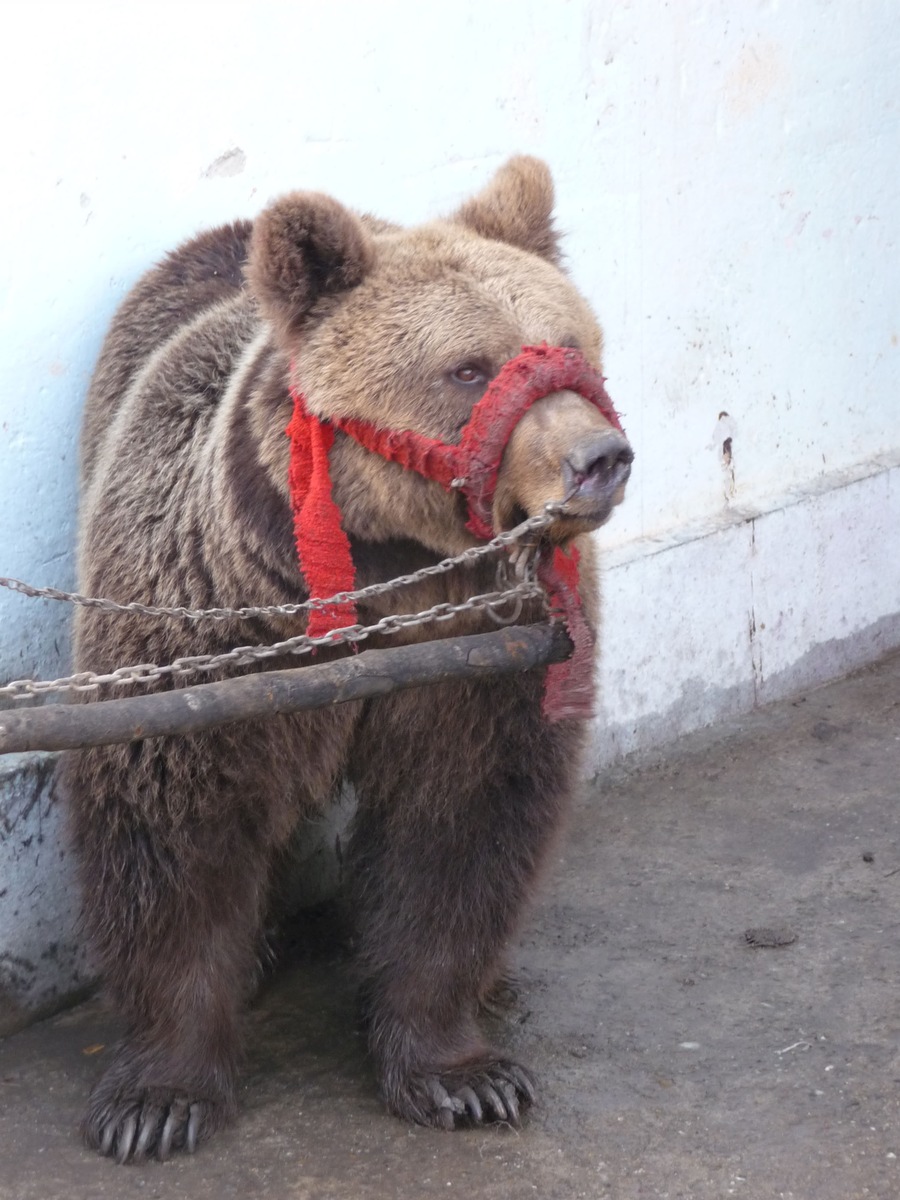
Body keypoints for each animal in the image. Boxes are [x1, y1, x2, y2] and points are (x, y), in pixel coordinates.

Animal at [58, 159, 633, 1161]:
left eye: (570, 343)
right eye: (468, 367)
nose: (600, 458)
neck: (390, 566)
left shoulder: (481, 649)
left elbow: (460, 821)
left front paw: (463, 1073)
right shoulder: (215, 626)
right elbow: (173, 819)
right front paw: (157, 1099)